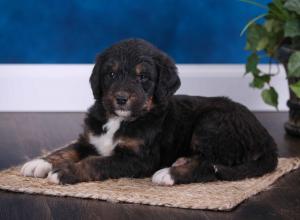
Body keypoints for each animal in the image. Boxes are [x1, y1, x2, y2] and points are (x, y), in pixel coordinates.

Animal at [21, 38, 278, 185]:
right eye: (111, 74)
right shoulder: (90, 139)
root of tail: (266, 138)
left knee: (210, 165)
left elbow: (96, 162)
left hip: (213, 122)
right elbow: (67, 150)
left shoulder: (138, 158)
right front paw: (40, 163)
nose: (121, 98)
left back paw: (170, 174)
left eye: (143, 77)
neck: (119, 120)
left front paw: (64, 173)